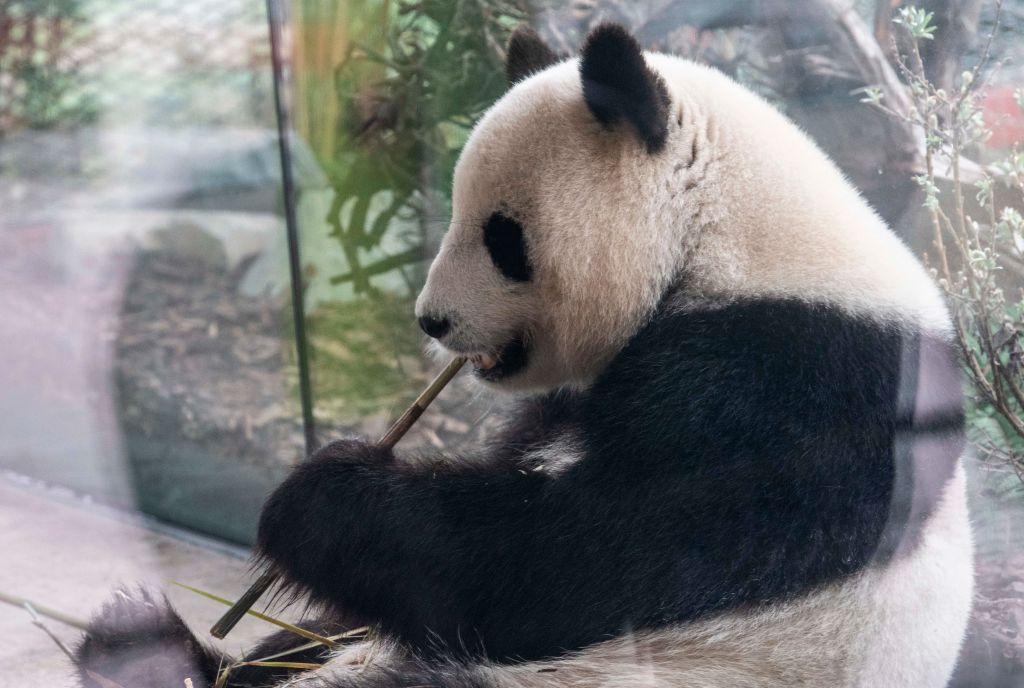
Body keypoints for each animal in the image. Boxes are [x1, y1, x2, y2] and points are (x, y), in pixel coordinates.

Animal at [75, 23, 972, 688]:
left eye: (502, 237)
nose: (432, 320)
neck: (734, 238)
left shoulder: (782, 386)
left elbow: (567, 564)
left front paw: (317, 494)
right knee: (305, 643)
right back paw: (143, 649)